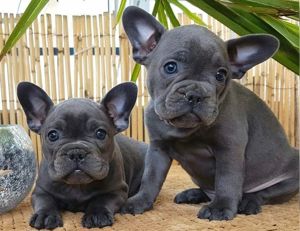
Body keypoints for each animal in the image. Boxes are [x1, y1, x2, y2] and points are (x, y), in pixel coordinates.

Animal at [17, 81, 147, 229]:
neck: (77, 186)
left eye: (100, 133)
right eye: (52, 135)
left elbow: (101, 200)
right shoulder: (40, 191)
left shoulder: (117, 191)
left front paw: (97, 215)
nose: (76, 152)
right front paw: (45, 215)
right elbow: (45, 201)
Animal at [120, 6, 298, 221]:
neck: (184, 129)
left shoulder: (229, 148)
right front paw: (140, 201)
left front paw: (220, 207)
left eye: (220, 75)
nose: (196, 94)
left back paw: (248, 202)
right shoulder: (158, 149)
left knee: (262, 194)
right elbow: (151, 178)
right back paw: (192, 194)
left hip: (289, 180)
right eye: (170, 67)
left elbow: (227, 180)